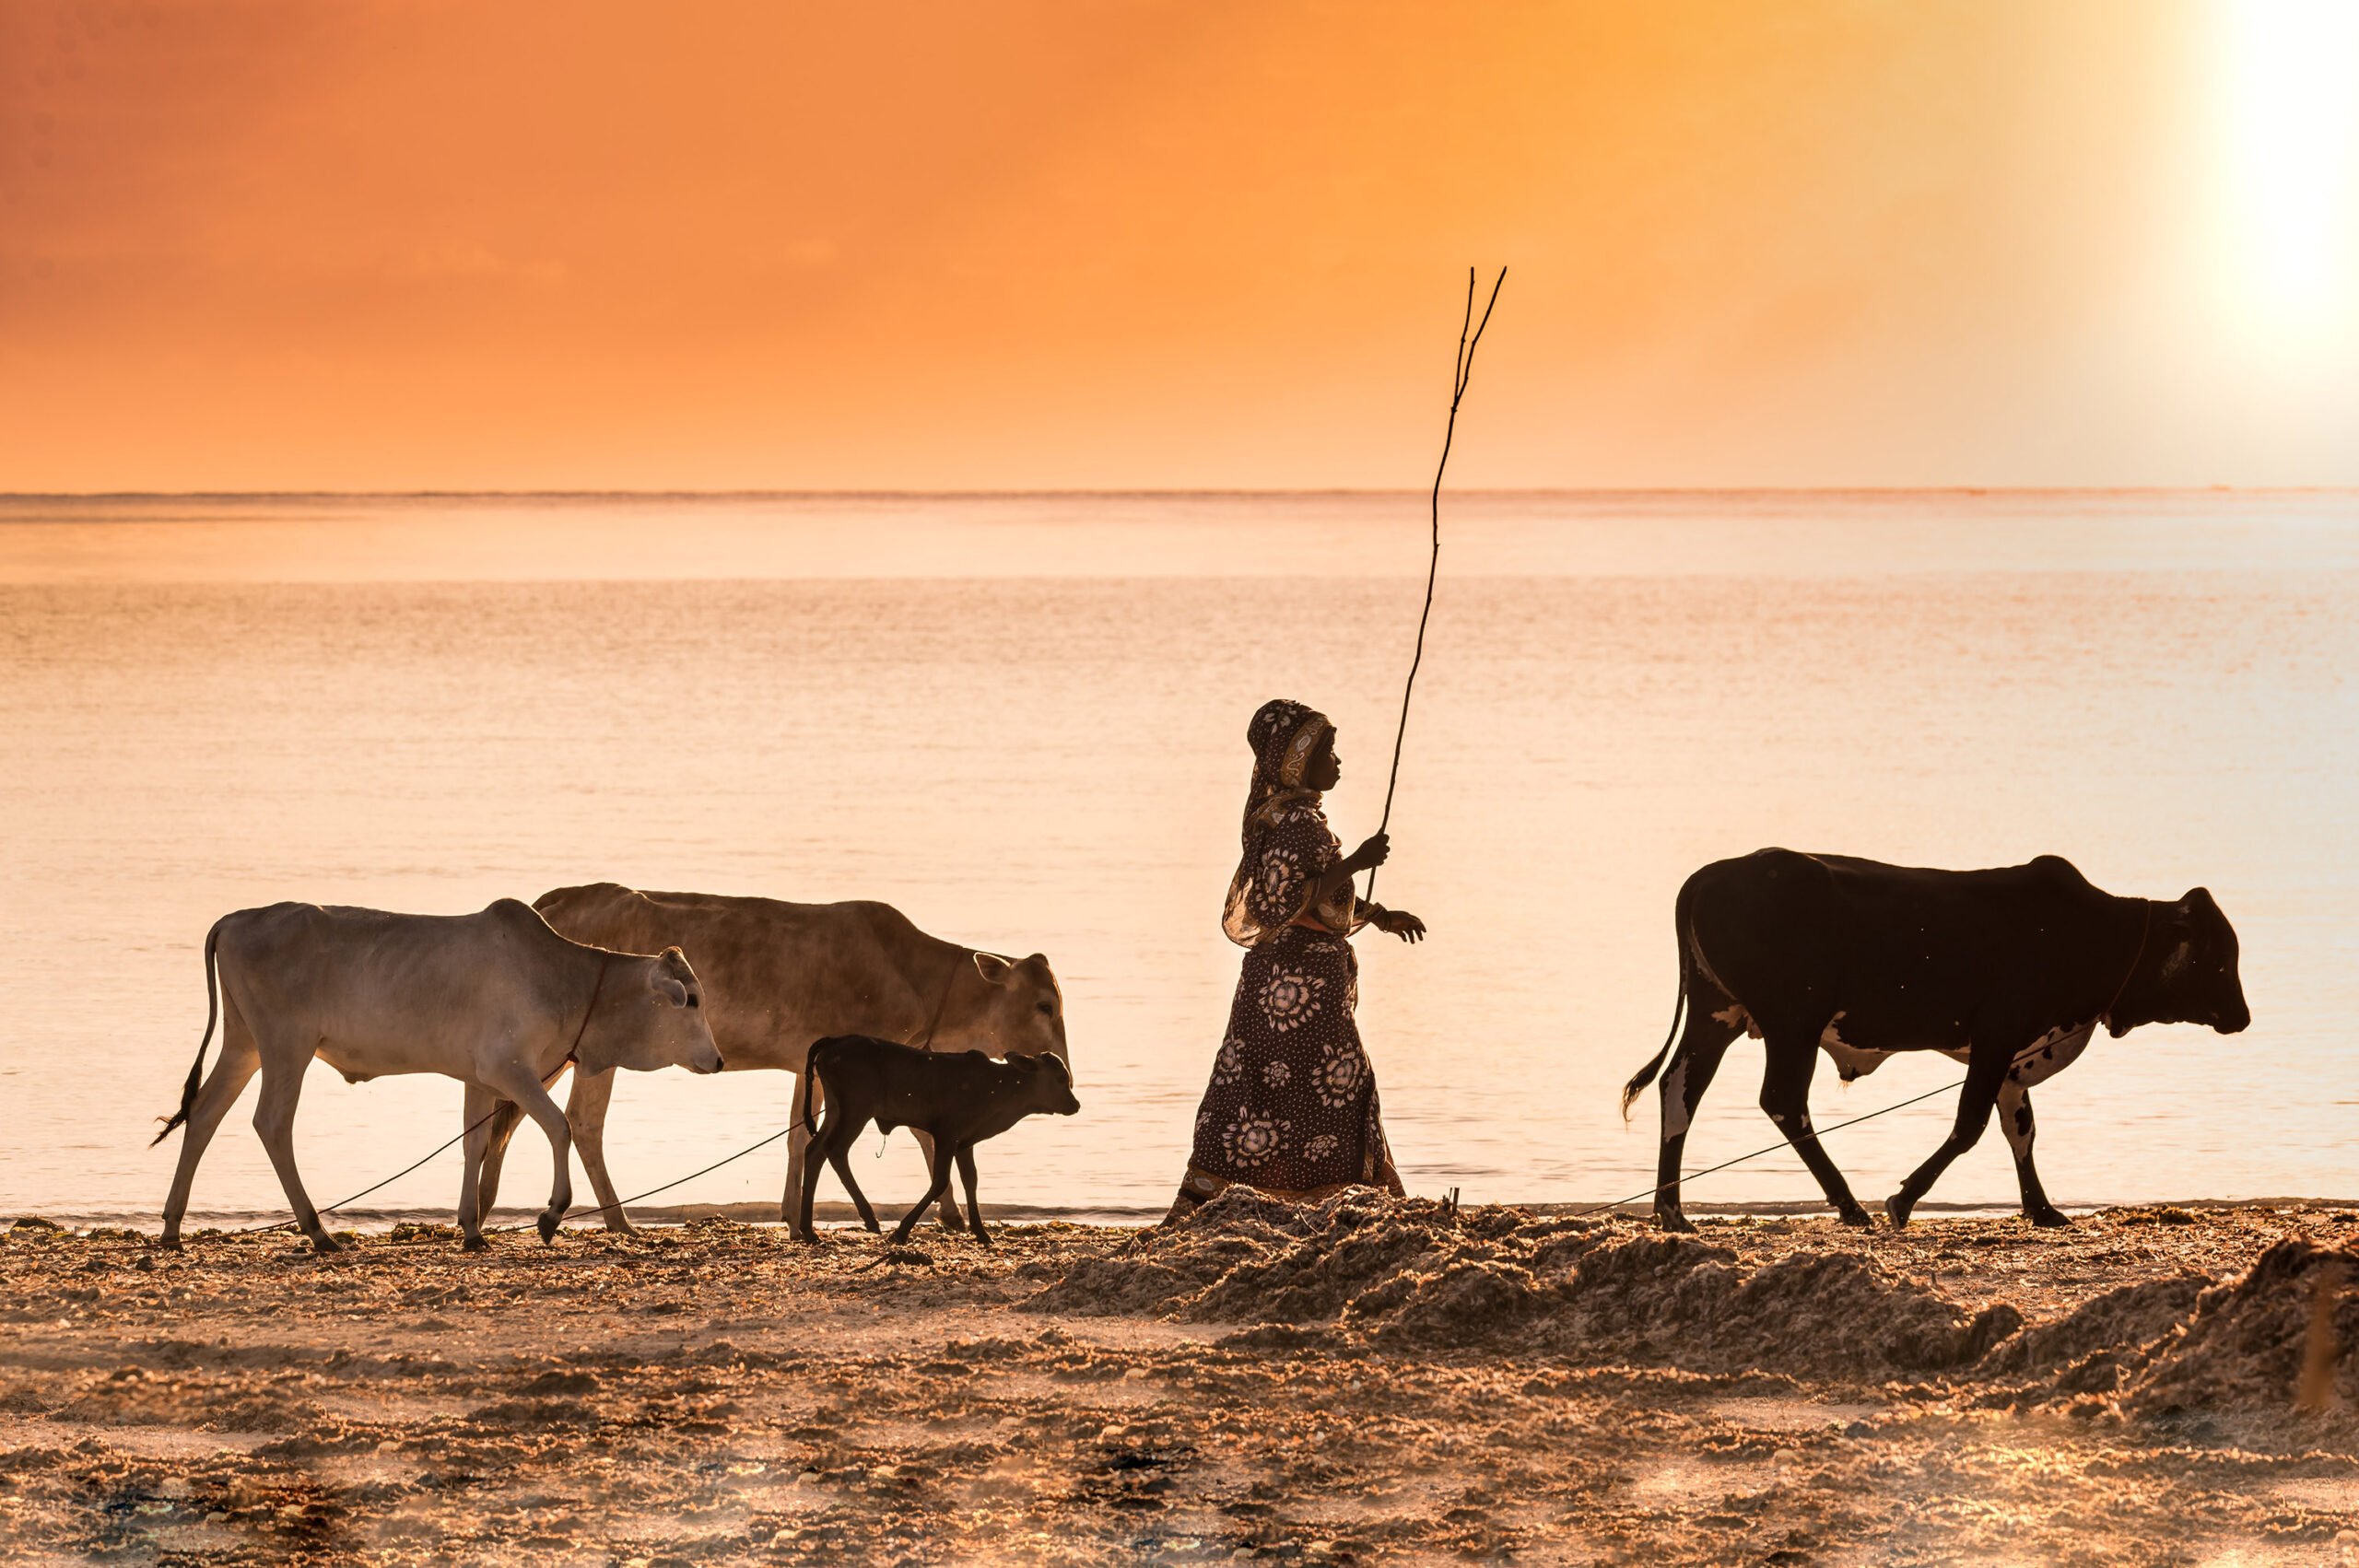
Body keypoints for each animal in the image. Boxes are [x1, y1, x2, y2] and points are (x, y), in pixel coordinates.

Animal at [153, 900, 717, 1254]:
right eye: (690, 999)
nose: (716, 1060)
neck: (567, 981)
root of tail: (236, 919)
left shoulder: (481, 1079)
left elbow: (475, 1145)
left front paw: (471, 1230)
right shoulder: (509, 1069)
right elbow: (560, 1127)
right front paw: (552, 1214)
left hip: (244, 1043)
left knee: (204, 1114)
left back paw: (173, 1228)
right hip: (286, 1047)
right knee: (271, 1123)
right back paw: (317, 1232)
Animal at [483, 886, 1075, 1225]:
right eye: (1044, 1005)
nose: (1068, 1071)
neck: (918, 979)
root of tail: (553, 902)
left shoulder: (811, 1061)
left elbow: (800, 1135)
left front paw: (794, 1215)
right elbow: (923, 1134)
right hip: (578, 1051)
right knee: (570, 1121)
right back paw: (613, 1220)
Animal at [797, 1033, 1080, 1245]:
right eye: (1061, 1078)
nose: (1075, 1105)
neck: (999, 1086)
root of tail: (836, 1040)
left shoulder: (965, 1142)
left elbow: (971, 1181)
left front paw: (982, 1233)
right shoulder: (946, 1135)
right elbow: (941, 1181)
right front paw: (901, 1231)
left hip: (836, 1110)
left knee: (814, 1151)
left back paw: (809, 1231)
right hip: (856, 1111)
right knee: (835, 1150)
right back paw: (869, 1218)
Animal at [1623, 848, 2246, 1225]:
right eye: (2217, 957)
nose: (2242, 1017)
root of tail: (1717, 871)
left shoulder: (2015, 1054)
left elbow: (2021, 1129)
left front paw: (2042, 1209)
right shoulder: (1998, 1034)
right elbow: (1970, 1126)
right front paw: (1902, 1200)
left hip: (1717, 1014)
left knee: (1680, 1090)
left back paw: (1671, 1211)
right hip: (1790, 1022)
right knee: (1782, 1101)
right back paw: (1850, 1205)